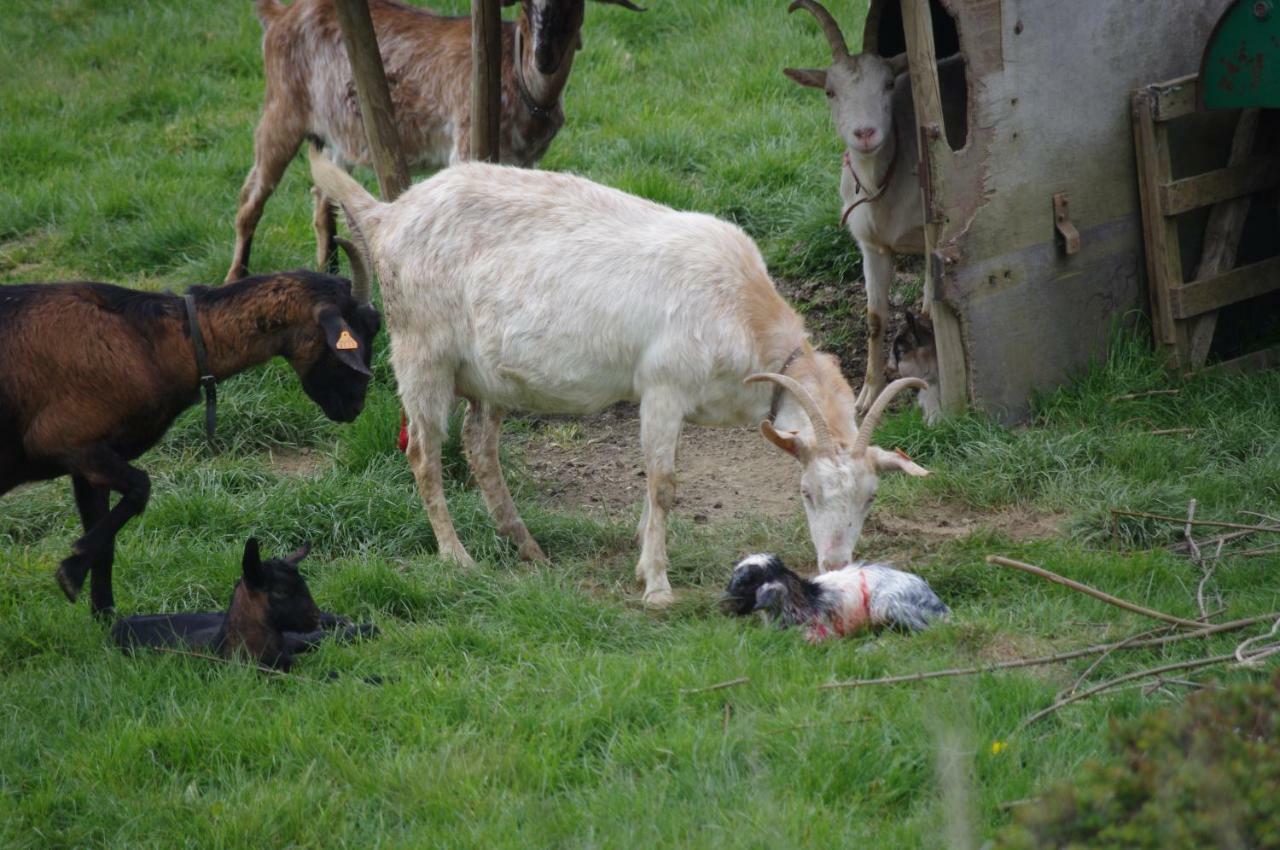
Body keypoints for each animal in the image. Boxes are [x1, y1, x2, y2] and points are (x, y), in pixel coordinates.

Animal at [0, 256, 378, 614]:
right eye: (358, 333)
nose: (356, 406)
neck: (154, 340)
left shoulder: (90, 461)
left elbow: (105, 545)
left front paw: (107, 622)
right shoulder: (67, 441)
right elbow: (140, 488)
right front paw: (71, 570)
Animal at [226, 0, 645, 281]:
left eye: (573, 3)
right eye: (527, 4)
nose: (544, 56)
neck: (517, 77)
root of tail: (280, 15)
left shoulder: (524, 161)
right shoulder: (466, 145)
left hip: (334, 134)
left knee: (323, 196)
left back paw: (331, 272)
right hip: (283, 108)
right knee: (252, 197)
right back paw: (236, 276)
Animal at [309, 149, 931, 606]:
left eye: (871, 497)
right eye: (806, 492)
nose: (835, 564)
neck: (744, 313)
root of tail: (387, 216)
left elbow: (658, 478)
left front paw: (640, 550)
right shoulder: (663, 386)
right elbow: (663, 481)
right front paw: (656, 584)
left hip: (485, 376)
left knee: (478, 446)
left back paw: (527, 547)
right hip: (423, 351)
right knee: (424, 453)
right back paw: (456, 557)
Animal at [783, 0, 962, 417]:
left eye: (888, 84)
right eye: (830, 91)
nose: (865, 134)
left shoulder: (931, 234)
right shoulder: (871, 246)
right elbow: (875, 319)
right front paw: (867, 394)